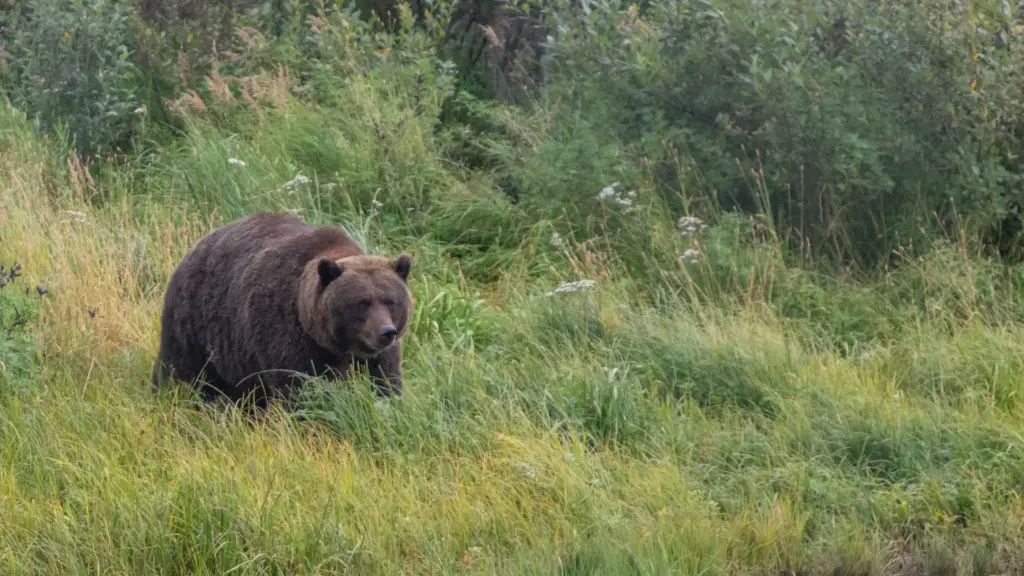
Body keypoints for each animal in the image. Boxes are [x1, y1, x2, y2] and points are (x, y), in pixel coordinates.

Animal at [150, 211, 411, 403]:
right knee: (178, 368)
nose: (386, 332)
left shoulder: (379, 357)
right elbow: (299, 388)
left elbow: (385, 381)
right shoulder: (286, 333)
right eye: (361, 303)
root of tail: (194, 248)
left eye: (391, 301)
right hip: (194, 323)